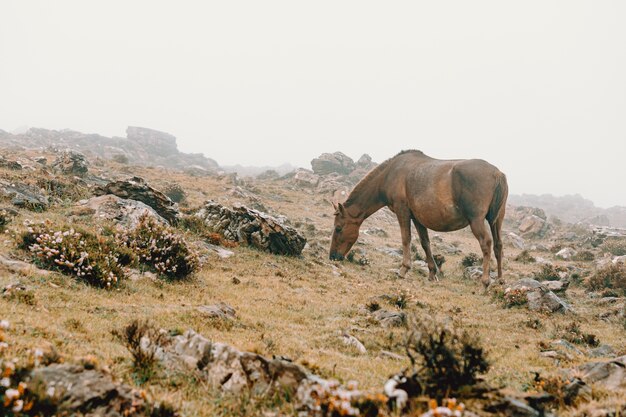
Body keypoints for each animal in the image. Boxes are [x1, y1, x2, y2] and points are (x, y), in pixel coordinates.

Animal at [330, 150, 504, 286]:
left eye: (338, 228)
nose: (332, 257)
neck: (391, 174)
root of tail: (498, 173)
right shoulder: (418, 219)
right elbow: (425, 243)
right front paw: (432, 273)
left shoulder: (402, 211)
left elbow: (406, 239)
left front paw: (403, 269)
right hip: (496, 221)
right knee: (498, 245)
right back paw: (500, 280)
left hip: (476, 221)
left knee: (486, 243)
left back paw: (485, 282)